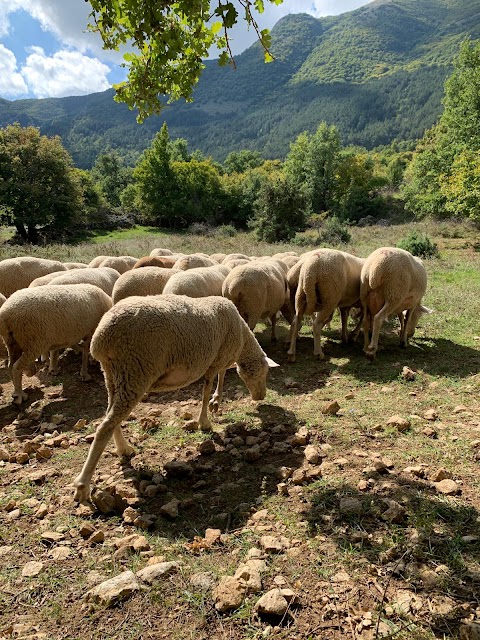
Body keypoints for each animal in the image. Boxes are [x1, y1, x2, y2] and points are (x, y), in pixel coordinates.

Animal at [73, 292, 280, 502]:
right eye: (264, 373)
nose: (261, 396)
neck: (242, 337)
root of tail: (101, 337)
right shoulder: (215, 361)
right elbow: (207, 390)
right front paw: (205, 421)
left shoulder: (218, 359)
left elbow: (220, 378)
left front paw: (215, 403)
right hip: (135, 371)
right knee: (105, 426)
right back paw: (83, 485)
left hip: (113, 375)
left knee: (110, 416)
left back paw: (124, 448)